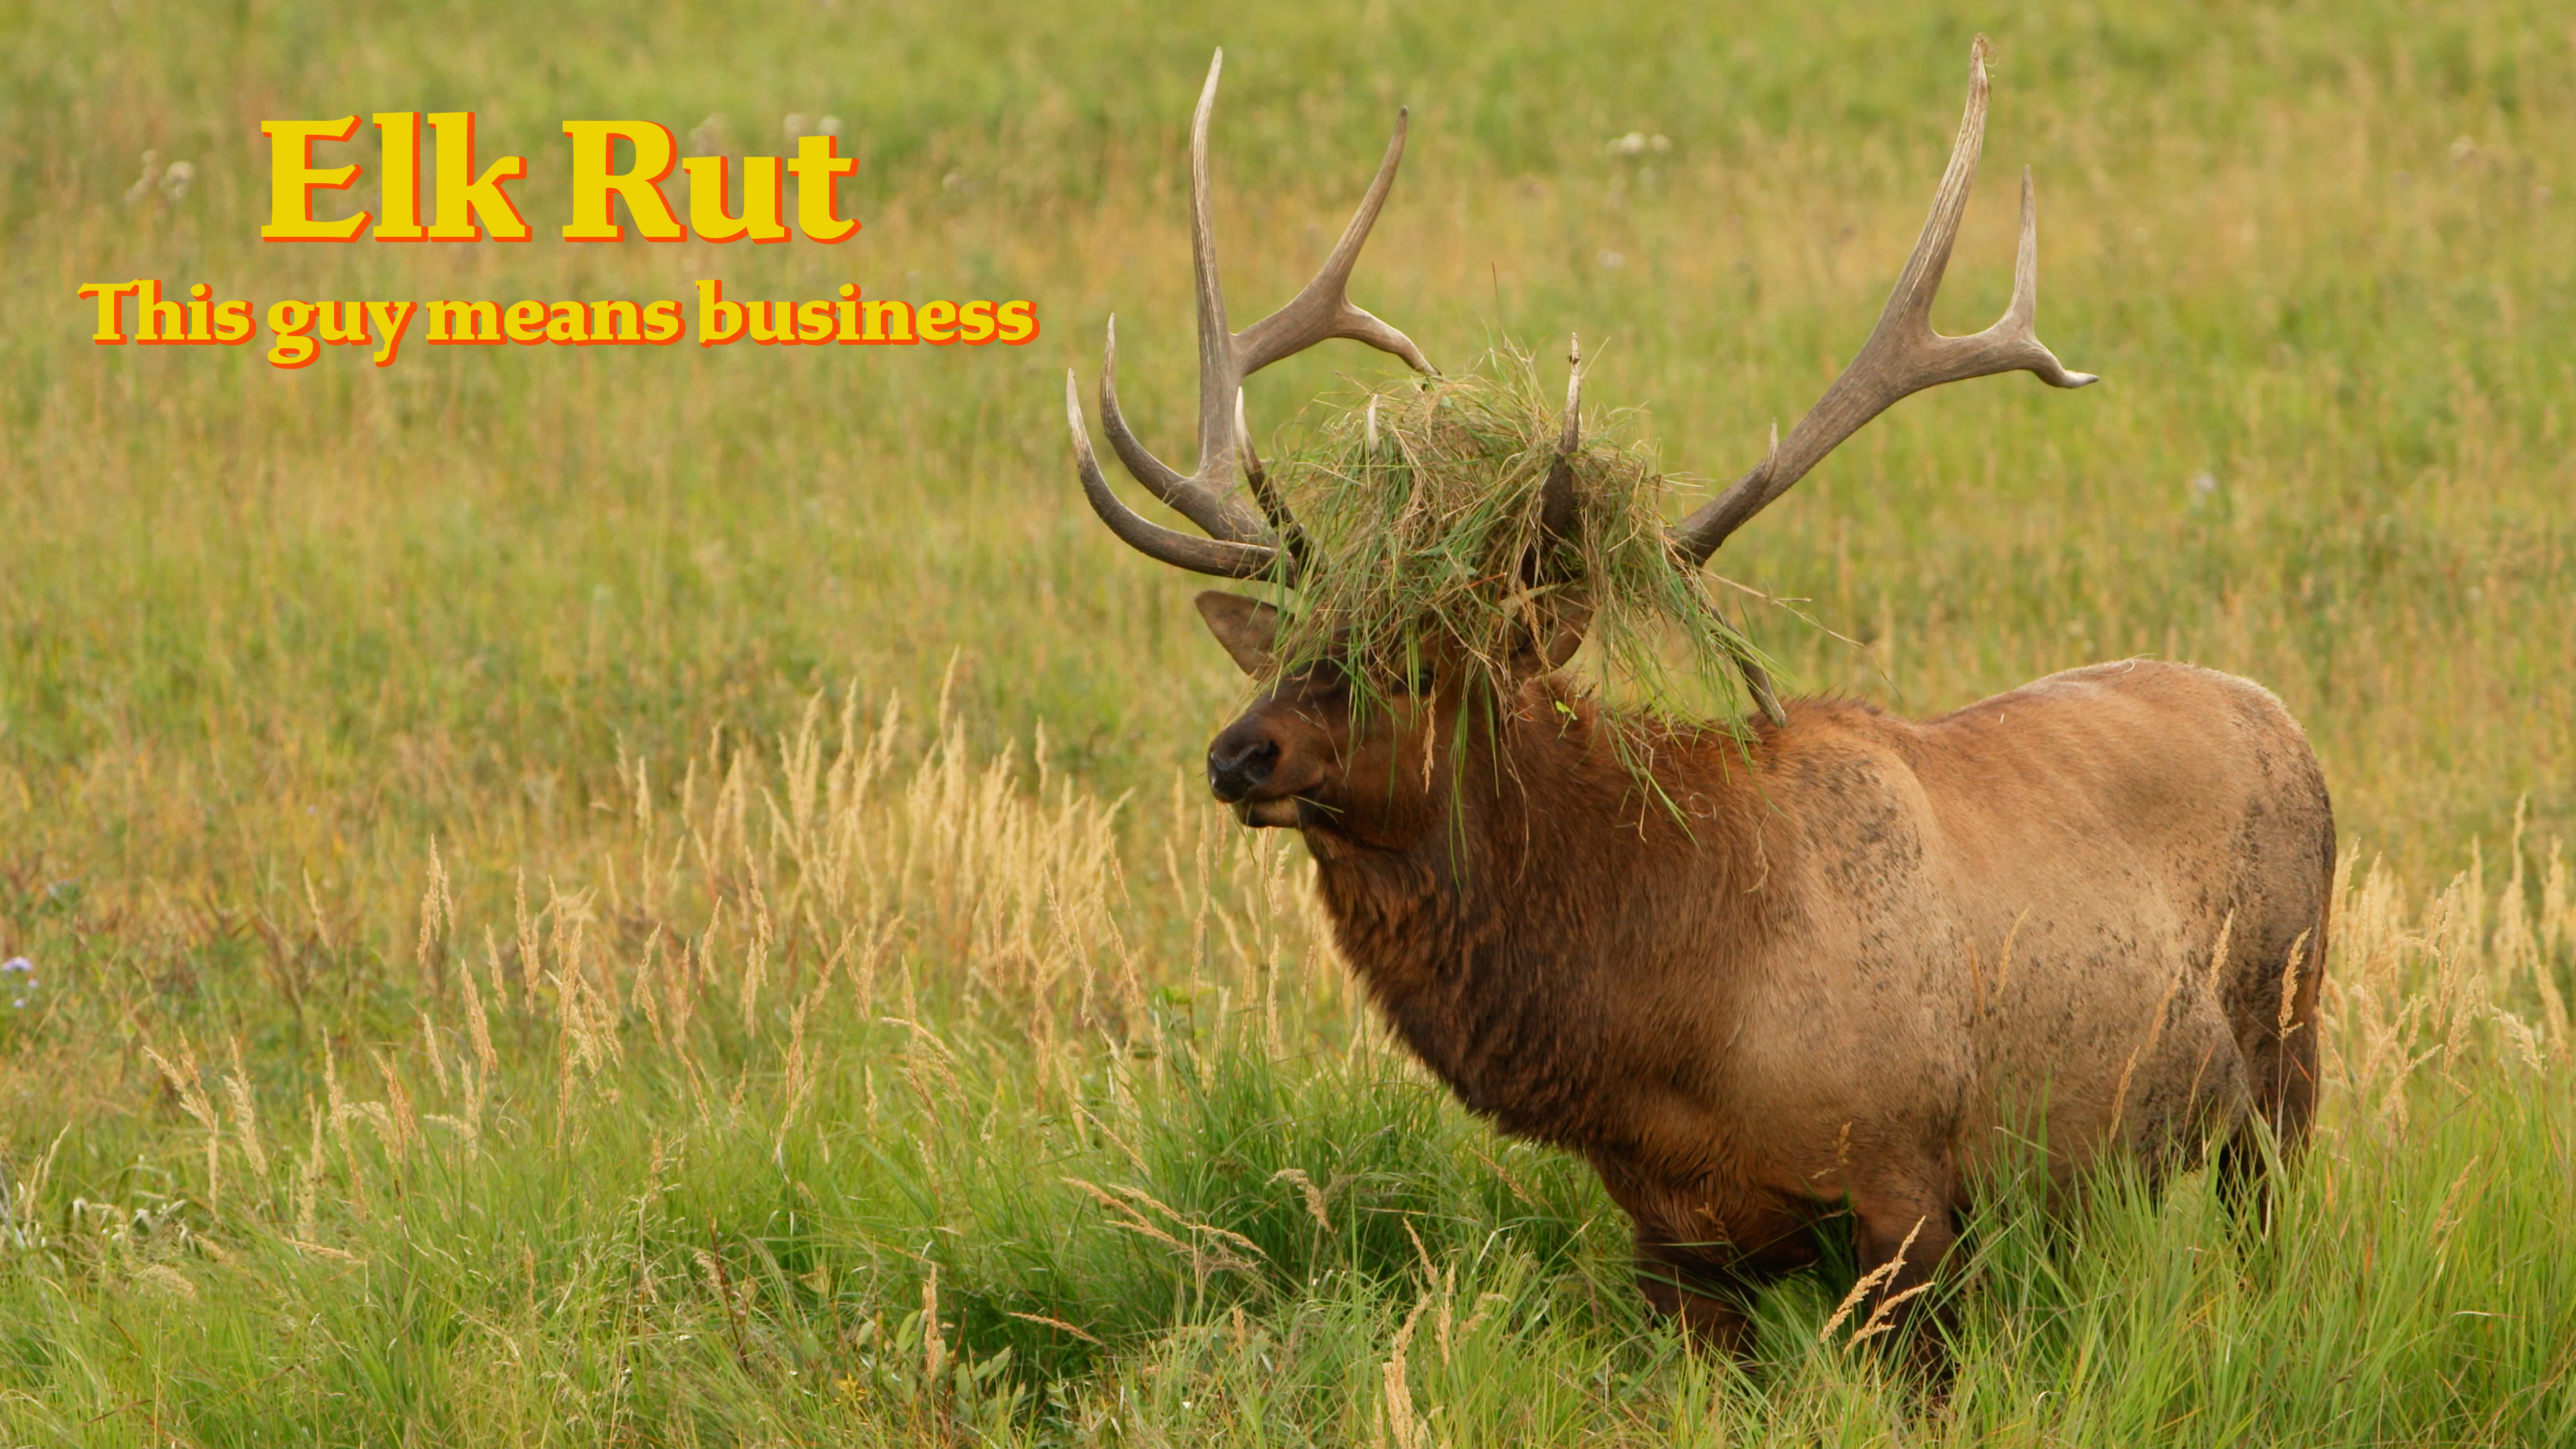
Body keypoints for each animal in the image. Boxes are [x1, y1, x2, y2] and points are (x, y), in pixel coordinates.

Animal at [1061, 41, 2334, 1365]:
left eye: (1414, 667)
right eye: (1290, 650)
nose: (1238, 756)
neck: (1673, 1036)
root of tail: (2279, 715)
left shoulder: (1904, 1180)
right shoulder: (1671, 1238)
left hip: (2285, 1062)